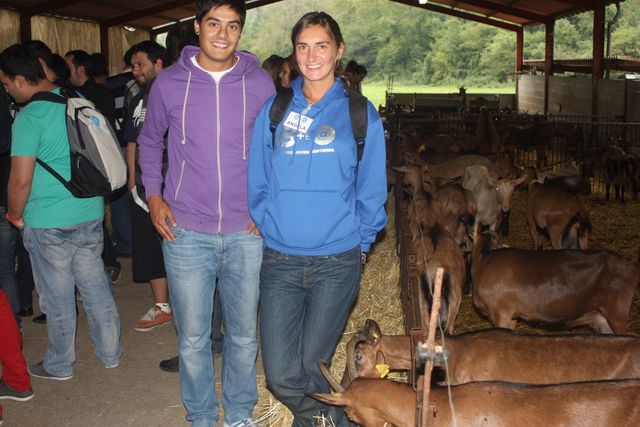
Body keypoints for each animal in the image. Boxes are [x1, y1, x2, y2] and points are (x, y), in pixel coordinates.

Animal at [470, 231, 640, 334]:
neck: (483, 260)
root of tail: (631, 265)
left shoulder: (501, 312)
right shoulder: (512, 315)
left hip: (617, 315)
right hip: (603, 319)